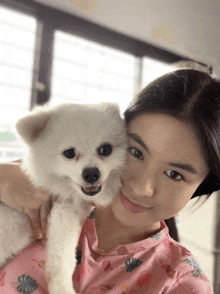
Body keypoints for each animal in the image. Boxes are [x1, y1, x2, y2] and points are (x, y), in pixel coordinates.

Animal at [0, 101, 127, 294]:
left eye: (106, 149)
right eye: (69, 153)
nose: (91, 173)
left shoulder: (68, 209)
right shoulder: (65, 210)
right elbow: (61, 258)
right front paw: (62, 287)